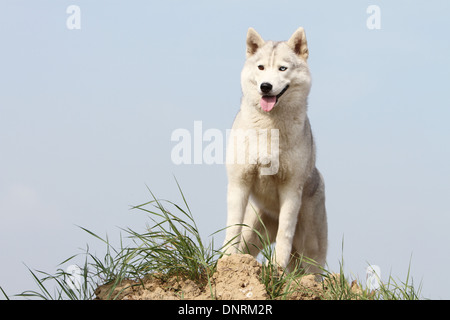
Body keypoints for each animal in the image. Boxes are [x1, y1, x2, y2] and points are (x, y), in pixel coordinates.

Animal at [224, 26, 326, 274]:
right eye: (261, 67)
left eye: (282, 68)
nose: (266, 87)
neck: (269, 129)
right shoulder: (239, 182)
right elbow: (231, 229)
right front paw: (225, 260)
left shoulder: (290, 189)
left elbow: (284, 236)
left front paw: (277, 266)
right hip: (251, 233)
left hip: (311, 250)